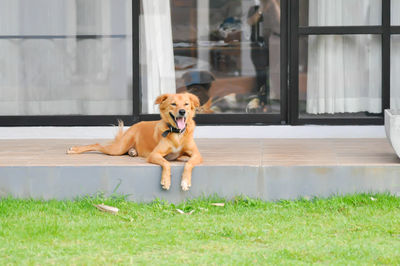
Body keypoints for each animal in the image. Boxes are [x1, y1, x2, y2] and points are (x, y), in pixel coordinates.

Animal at [67, 92, 203, 190]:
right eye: (173, 104)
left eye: (186, 104)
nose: (182, 112)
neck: (177, 133)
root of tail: (135, 125)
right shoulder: (154, 154)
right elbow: (166, 163)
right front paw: (166, 181)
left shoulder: (197, 155)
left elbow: (189, 163)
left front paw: (185, 181)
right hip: (117, 149)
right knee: (97, 144)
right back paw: (75, 149)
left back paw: (133, 152)